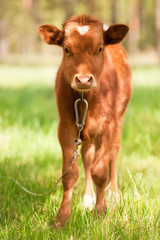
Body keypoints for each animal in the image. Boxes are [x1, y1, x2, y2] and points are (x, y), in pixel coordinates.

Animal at [37, 15, 131, 227]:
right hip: (86, 134)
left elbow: (100, 172)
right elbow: (70, 174)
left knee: (114, 152)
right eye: (66, 49)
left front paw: (100, 212)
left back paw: (113, 193)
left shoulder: (107, 126)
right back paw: (88, 198)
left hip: (119, 121)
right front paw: (62, 219)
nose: (83, 79)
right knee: (88, 158)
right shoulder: (65, 127)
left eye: (100, 48)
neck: (85, 98)